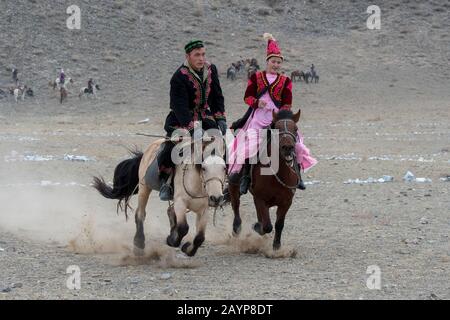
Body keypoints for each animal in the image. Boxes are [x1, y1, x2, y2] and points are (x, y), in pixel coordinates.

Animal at [95, 136, 229, 256]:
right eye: (204, 168)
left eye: (224, 168)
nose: (216, 198)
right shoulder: (180, 203)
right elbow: (183, 228)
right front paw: (172, 241)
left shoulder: (204, 209)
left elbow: (200, 237)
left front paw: (187, 249)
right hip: (144, 187)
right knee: (140, 214)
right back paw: (139, 244)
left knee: (170, 211)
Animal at [229, 109, 302, 250]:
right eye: (276, 128)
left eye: (295, 129)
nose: (288, 148)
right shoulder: (261, 199)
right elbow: (267, 226)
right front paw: (257, 227)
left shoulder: (286, 202)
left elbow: (279, 224)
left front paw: (277, 246)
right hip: (233, 183)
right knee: (236, 204)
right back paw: (237, 227)